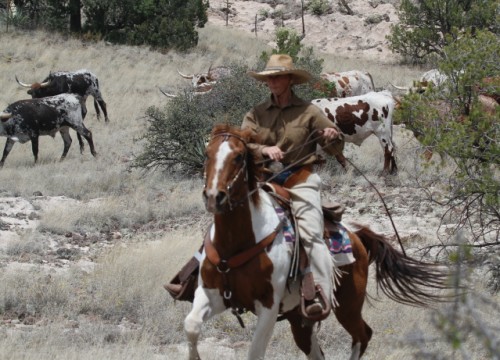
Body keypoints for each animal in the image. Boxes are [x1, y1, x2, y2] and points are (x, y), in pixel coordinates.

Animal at [184, 124, 450, 360]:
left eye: (238, 157)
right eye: (207, 154)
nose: (214, 196)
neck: (237, 242)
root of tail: (357, 234)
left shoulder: (268, 307)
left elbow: (255, 353)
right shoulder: (211, 294)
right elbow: (191, 325)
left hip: (347, 305)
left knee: (363, 335)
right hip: (299, 318)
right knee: (316, 351)